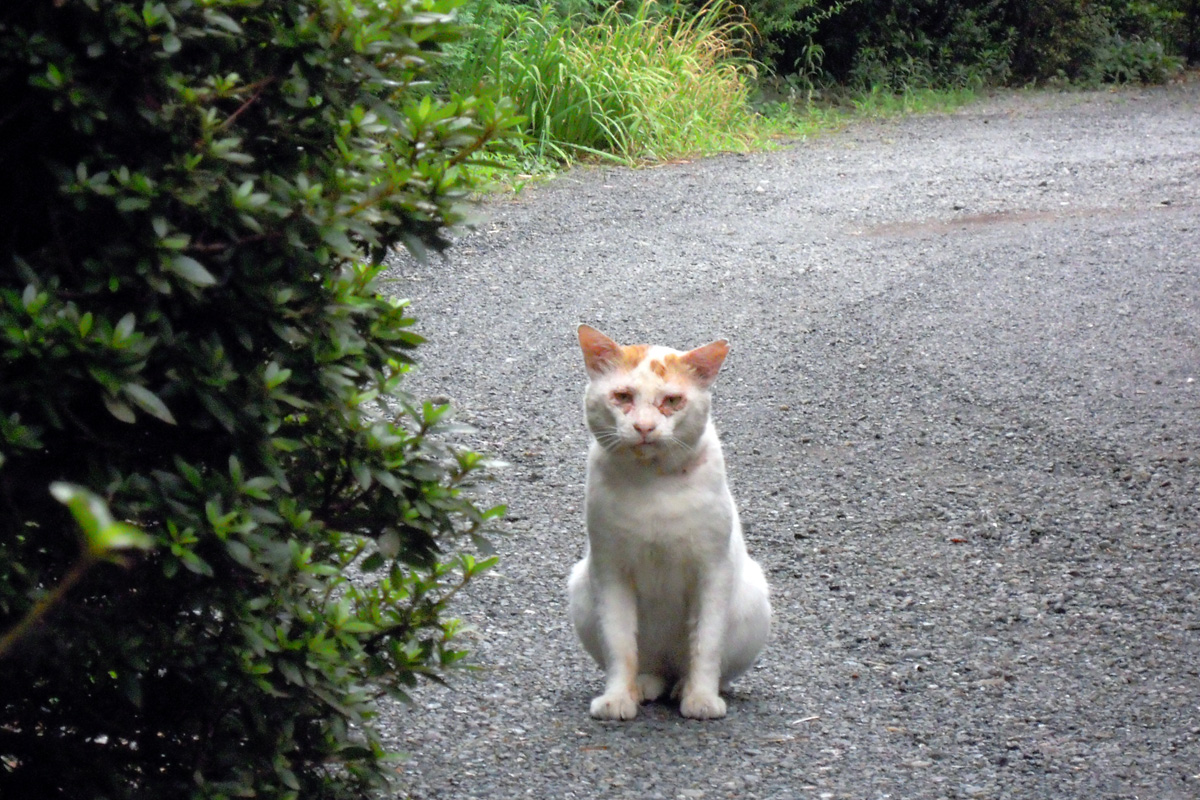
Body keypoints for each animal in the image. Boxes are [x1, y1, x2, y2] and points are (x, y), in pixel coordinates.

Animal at [568, 321, 772, 724]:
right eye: (622, 396)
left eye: (673, 401)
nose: (644, 427)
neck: (654, 485)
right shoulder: (609, 570)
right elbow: (619, 644)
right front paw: (617, 698)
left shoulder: (713, 570)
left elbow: (706, 643)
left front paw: (702, 699)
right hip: (582, 587)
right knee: (650, 668)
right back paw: (644, 685)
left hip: (754, 597)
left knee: (698, 667)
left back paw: (685, 687)